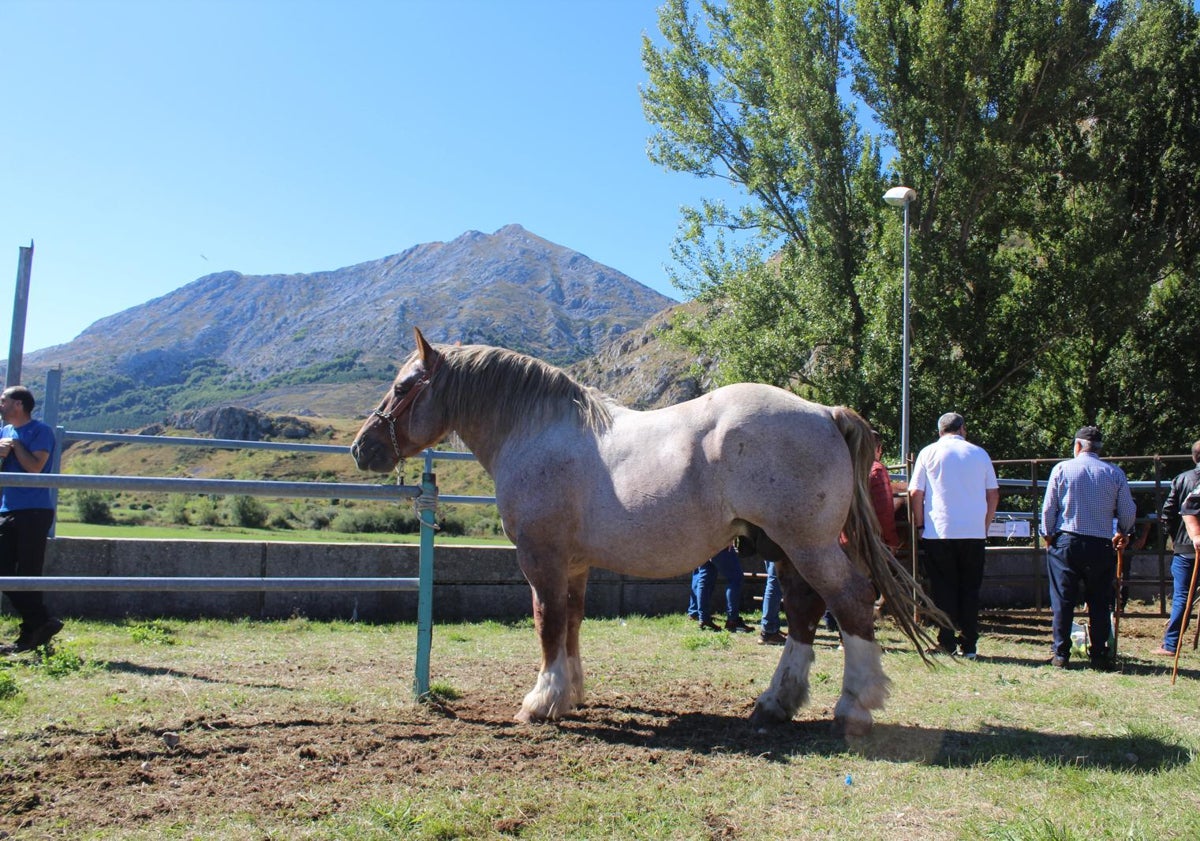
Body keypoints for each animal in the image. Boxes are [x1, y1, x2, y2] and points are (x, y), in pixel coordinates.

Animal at [350, 328, 940, 734]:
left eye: (402, 387)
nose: (362, 447)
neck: (536, 431)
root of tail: (822, 410)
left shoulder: (541, 557)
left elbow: (547, 621)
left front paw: (541, 701)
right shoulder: (576, 564)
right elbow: (571, 622)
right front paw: (572, 693)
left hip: (809, 545)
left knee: (851, 602)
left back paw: (854, 705)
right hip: (787, 549)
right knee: (802, 611)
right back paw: (776, 703)